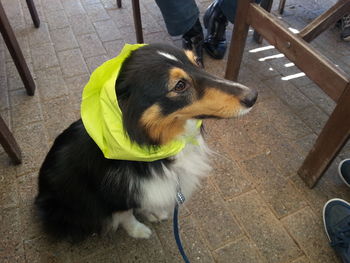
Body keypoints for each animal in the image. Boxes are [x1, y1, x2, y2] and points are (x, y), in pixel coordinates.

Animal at [34, 43, 258, 243]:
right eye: (179, 85)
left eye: (197, 61)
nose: (253, 96)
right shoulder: (112, 196)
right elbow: (125, 215)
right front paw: (138, 230)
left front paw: (153, 213)